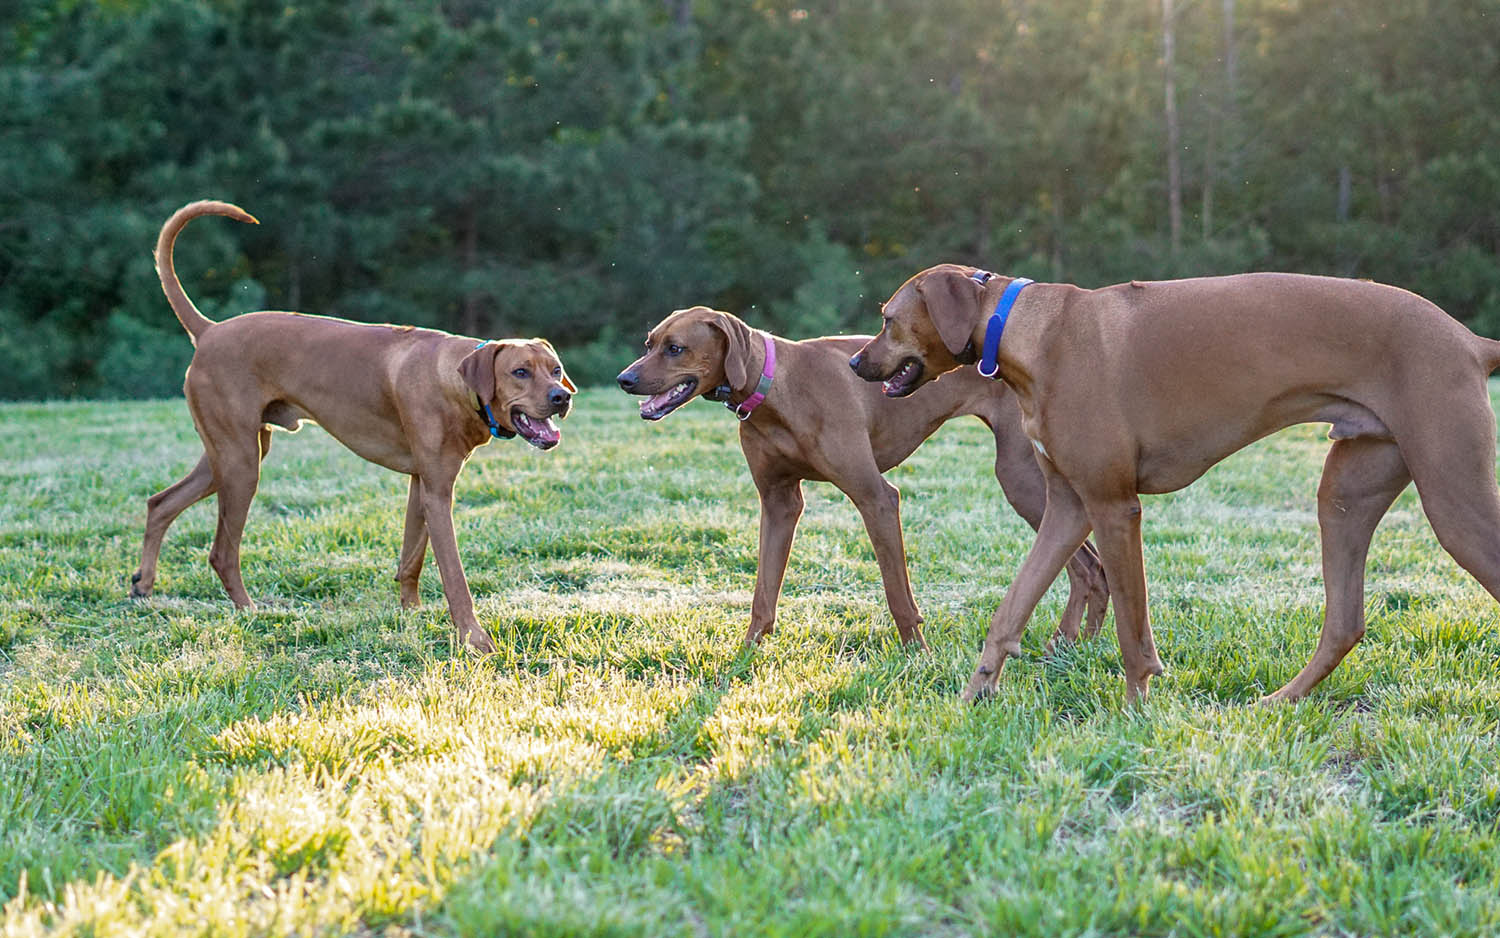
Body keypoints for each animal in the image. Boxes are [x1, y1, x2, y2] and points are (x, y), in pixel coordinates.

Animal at [132, 198, 576, 651]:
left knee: (161, 503)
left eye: (555, 370)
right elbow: (454, 577)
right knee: (221, 551)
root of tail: (210, 330)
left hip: (231, 453)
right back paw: (250, 611)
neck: (454, 380)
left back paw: (144, 586)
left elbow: (411, 559)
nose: (562, 398)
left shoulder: (421, 483)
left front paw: (412, 613)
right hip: (241, 464)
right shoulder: (438, 491)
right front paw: (474, 638)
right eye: (520, 372)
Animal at [615, 303, 1110, 648]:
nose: (624, 379)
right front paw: (747, 653)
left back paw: (1068, 642)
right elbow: (763, 594)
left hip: (1022, 479)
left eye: (675, 348)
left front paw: (918, 654)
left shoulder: (877, 496)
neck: (775, 386)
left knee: (1087, 567)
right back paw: (1079, 645)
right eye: (648, 343)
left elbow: (897, 594)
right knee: (1094, 568)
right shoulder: (779, 504)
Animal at [852, 264, 1500, 702]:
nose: (856, 364)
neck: (1025, 330)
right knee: (1345, 623)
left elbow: (1130, 628)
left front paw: (1137, 709)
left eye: (886, 319)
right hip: (1346, 494)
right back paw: (1280, 700)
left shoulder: (1114, 508)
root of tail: (1468, 339)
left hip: (1454, 502)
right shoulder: (1068, 508)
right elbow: (1009, 611)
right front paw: (975, 693)